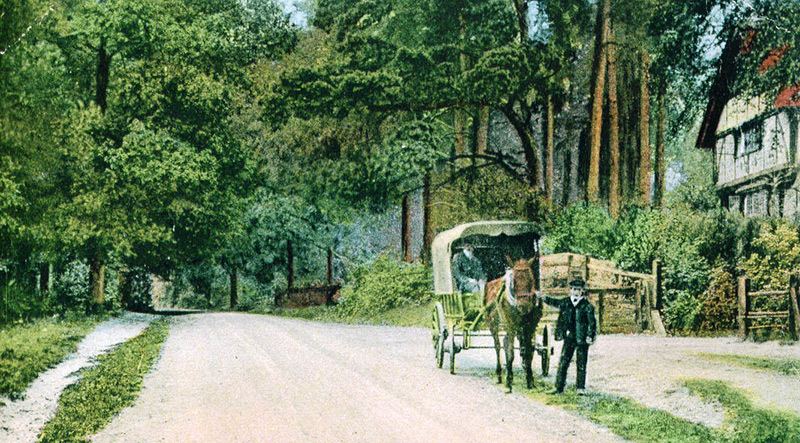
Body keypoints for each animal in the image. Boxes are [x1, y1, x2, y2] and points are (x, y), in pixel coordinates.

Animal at [484, 255, 540, 394]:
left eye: (531, 279)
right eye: (514, 280)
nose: (523, 305)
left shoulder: (529, 326)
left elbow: (528, 351)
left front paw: (530, 379)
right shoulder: (510, 325)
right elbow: (510, 352)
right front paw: (508, 381)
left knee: (505, 342)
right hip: (492, 323)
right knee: (498, 345)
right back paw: (500, 374)